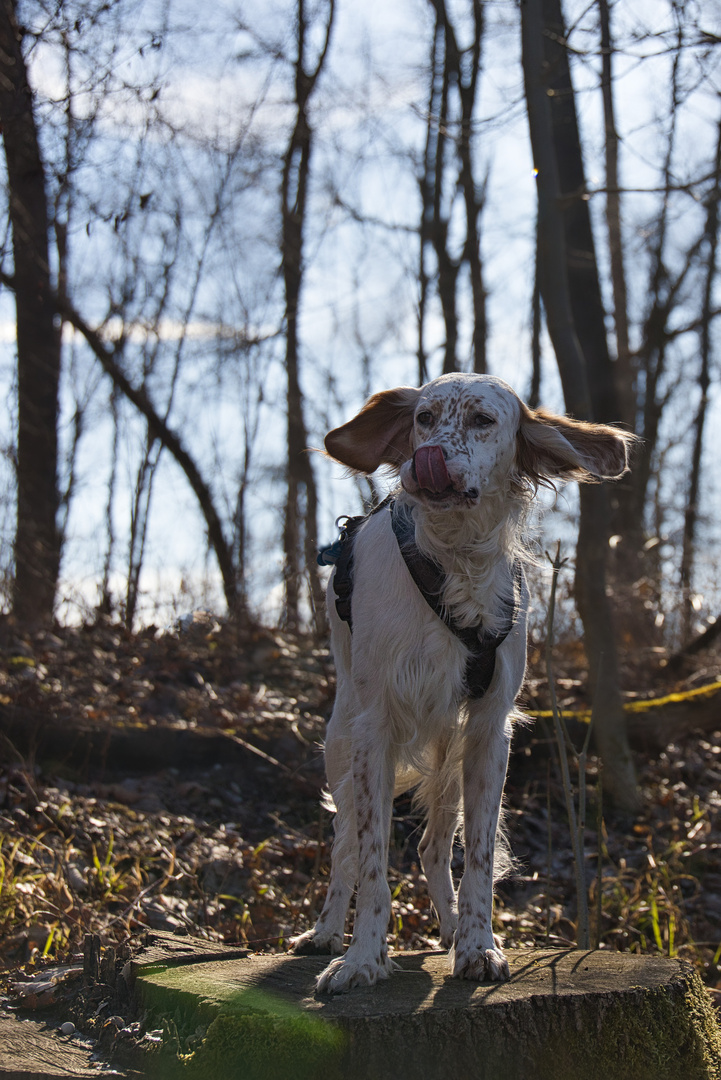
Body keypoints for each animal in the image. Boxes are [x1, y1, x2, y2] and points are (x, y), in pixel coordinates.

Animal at [293, 373, 630, 993]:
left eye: (482, 420)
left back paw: (449, 931)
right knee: (344, 847)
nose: (425, 458)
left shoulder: (488, 732)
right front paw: (361, 959)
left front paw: (476, 946)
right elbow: (372, 860)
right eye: (423, 418)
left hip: (447, 751)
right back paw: (326, 931)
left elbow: (476, 856)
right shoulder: (374, 727)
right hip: (341, 742)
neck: (453, 559)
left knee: (431, 846)